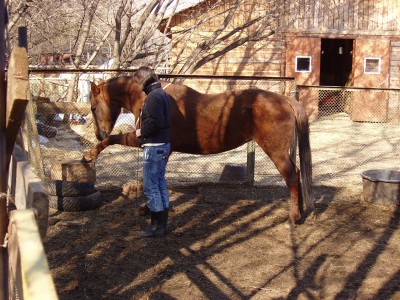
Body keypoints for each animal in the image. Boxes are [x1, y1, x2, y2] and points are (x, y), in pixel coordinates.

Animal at [84, 76, 314, 224]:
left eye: (93, 108)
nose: (98, 134)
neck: (151, 96)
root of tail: (286, 100)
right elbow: (158, 178)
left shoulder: (144, 139)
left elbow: (115, 140)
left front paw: (89, 155)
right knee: (298, 175)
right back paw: (301, 210)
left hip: (277, 153)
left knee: (292, 177)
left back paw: (293, 217)